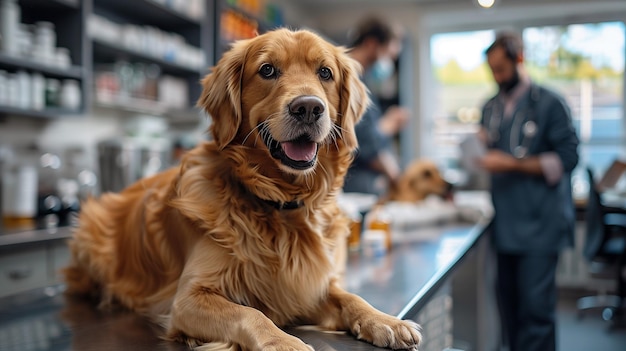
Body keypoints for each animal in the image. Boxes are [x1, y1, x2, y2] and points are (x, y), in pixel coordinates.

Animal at [63, 29, 422, 351]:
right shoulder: (189, 298)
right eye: (267, 70)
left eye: (325, 73)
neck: (281, 204)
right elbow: (250, 314)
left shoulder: (309, 286)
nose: (308, 108)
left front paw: (385, 320)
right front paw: (283, 342)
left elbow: (349, 297)